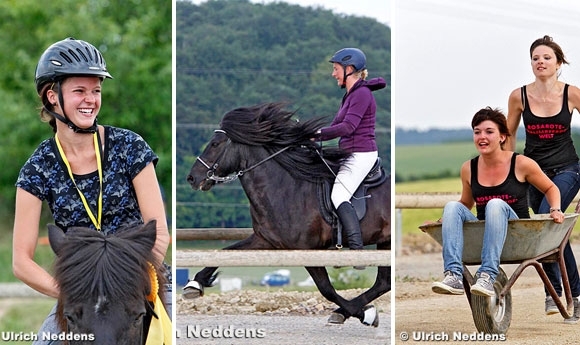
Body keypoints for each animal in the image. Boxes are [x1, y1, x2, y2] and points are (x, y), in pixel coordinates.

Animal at [184, 101, 390, 326]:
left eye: (215, 144)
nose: (192, 178)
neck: (286, 188)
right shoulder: (265, 240)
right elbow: (225, 253)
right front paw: (195, 284)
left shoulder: (307, 249)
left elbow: (326, 289)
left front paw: (364, 314)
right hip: (384, 242)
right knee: (383, 282)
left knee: (382, 282)